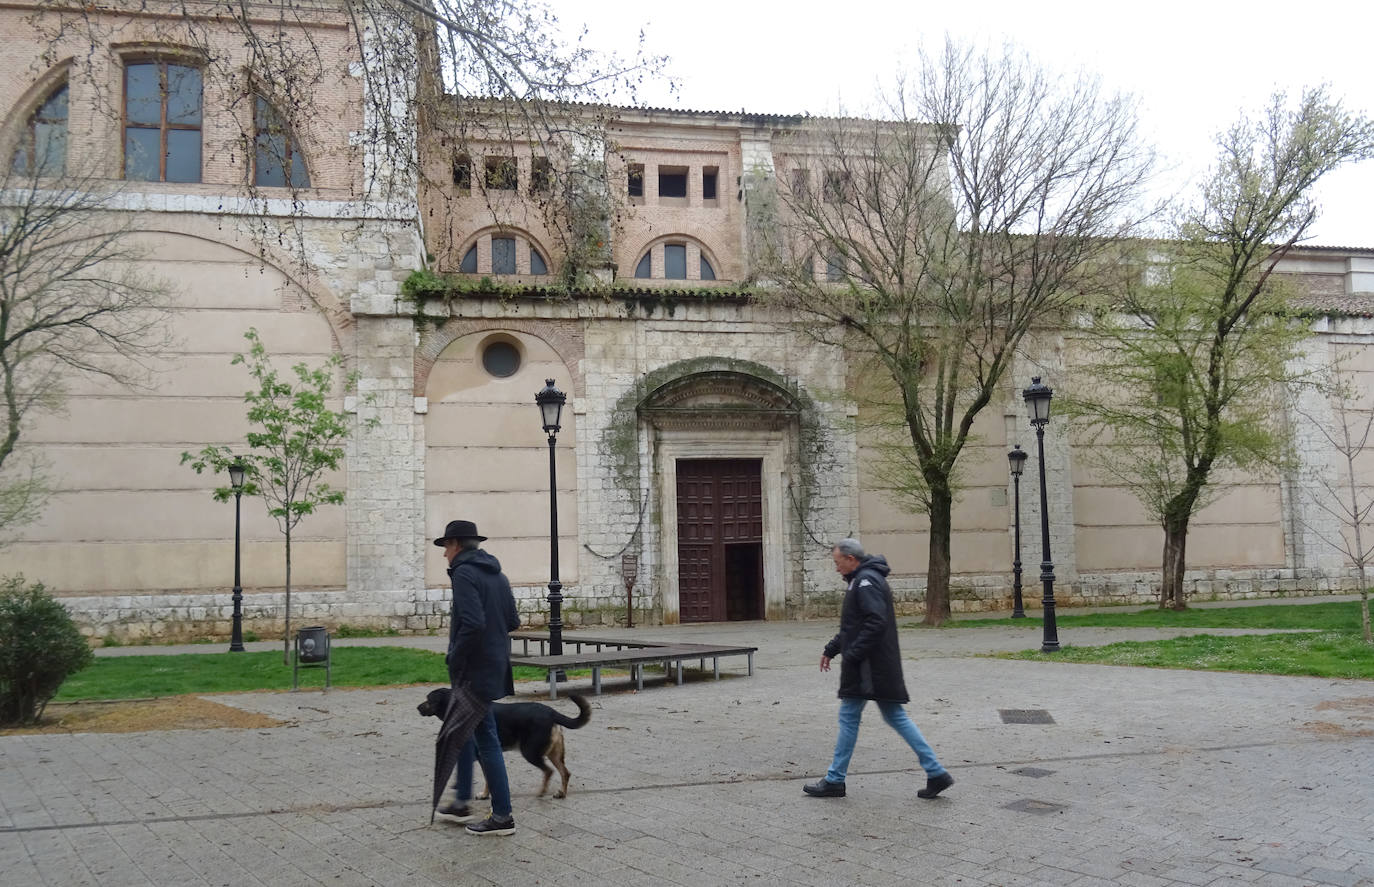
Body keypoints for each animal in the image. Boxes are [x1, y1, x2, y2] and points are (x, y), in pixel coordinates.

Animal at [417, 689, 590, 801]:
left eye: (429, 700)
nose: (418, 708)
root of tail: (551, 712)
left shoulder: (480, 756)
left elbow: (486, 777)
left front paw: (483, 794)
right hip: (554, 753)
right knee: (565, 772)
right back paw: (561, 793)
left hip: (530, 752)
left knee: (548, 771)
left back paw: (542, 792)